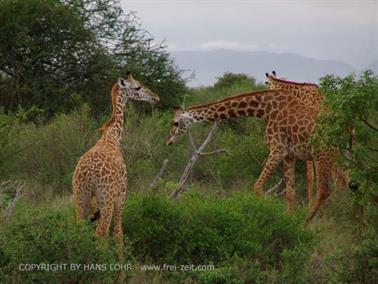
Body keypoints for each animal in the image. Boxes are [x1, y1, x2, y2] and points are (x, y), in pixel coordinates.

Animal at [72, 74, 159, 237]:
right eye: (137, 86)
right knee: (102, 232)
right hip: (106, 199)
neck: (113, 135)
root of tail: (88, 174)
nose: (155, 97)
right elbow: (118, 232)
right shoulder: (121, 194)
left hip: (80, 197)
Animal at [167, 90, 336, 222]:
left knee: (324, 190)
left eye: (175, 123)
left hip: (321, 155)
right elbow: (290, 193)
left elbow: (257, 187)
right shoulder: (289, 154)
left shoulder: (277, 149)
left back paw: (304, 224)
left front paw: (273, 216)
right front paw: (288, 220)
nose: (168, 141)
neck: (264, 109)